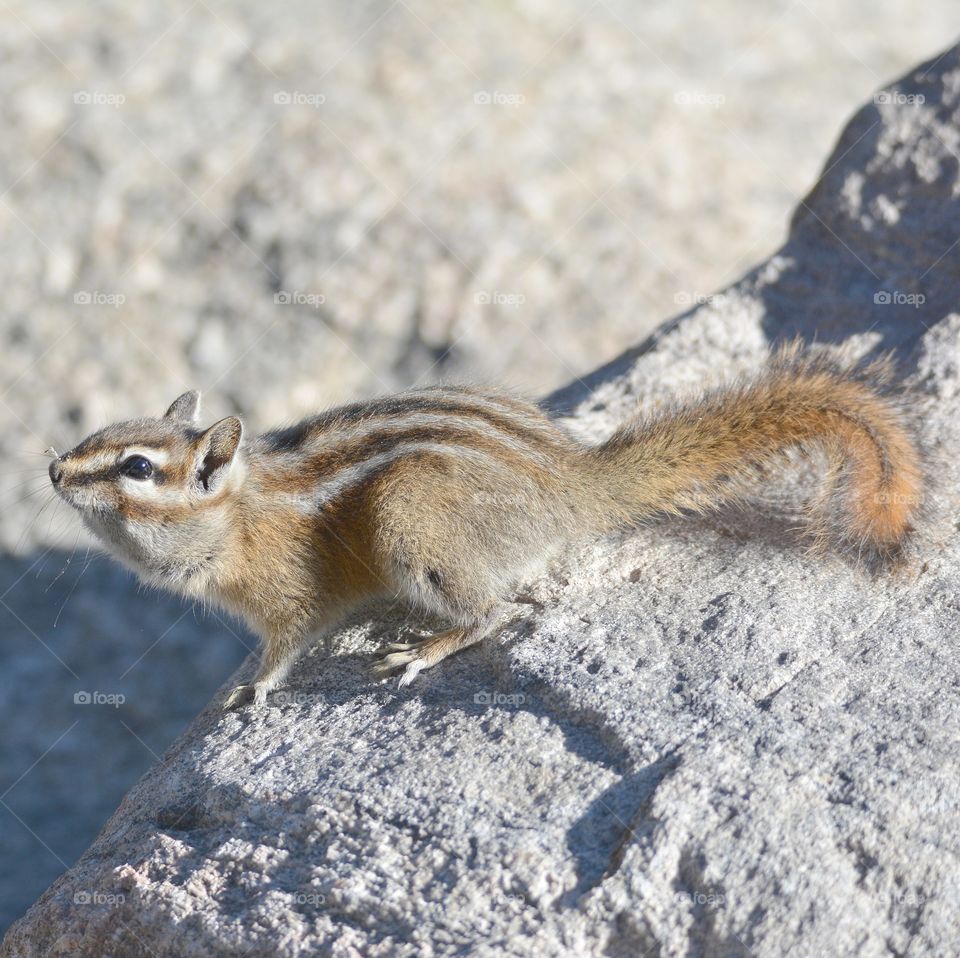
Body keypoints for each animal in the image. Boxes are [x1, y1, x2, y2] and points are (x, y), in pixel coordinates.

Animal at [48, 343, 922, 707]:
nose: (53, 469)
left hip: (408, 518)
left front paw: (253, 687)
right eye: (97, 437)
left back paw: (424, 650)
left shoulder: (290, 598)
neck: (234, 515)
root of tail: (573, 483)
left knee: (496, 611)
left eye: (136, 467)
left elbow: (286, 645)